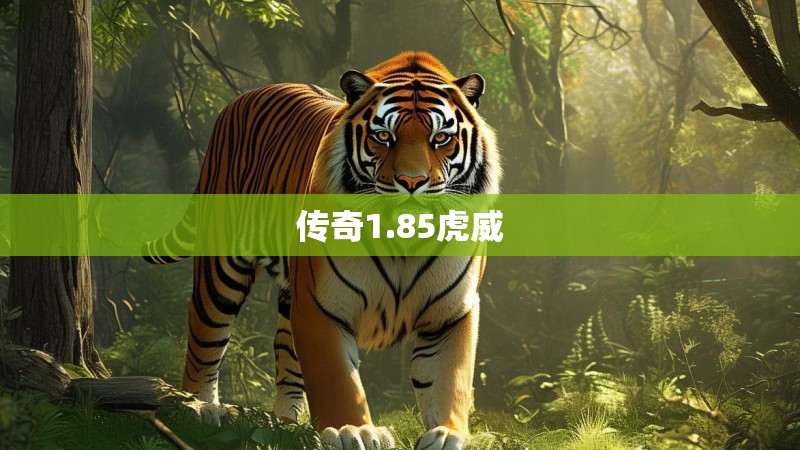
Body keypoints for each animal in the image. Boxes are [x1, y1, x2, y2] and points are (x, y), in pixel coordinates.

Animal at [144, 52, 501, 450]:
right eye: (383, 136)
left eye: (441, 138)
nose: (412, 182)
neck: (402, 240)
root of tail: (242, 97)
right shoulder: (320, 303)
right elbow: (336, 376)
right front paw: (353, 430)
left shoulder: (451, 311)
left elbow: (449, 379)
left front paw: (447, 435)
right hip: (222, 265)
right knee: (204, 329)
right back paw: (198, 408)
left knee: (285, 350)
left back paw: (286, 424)